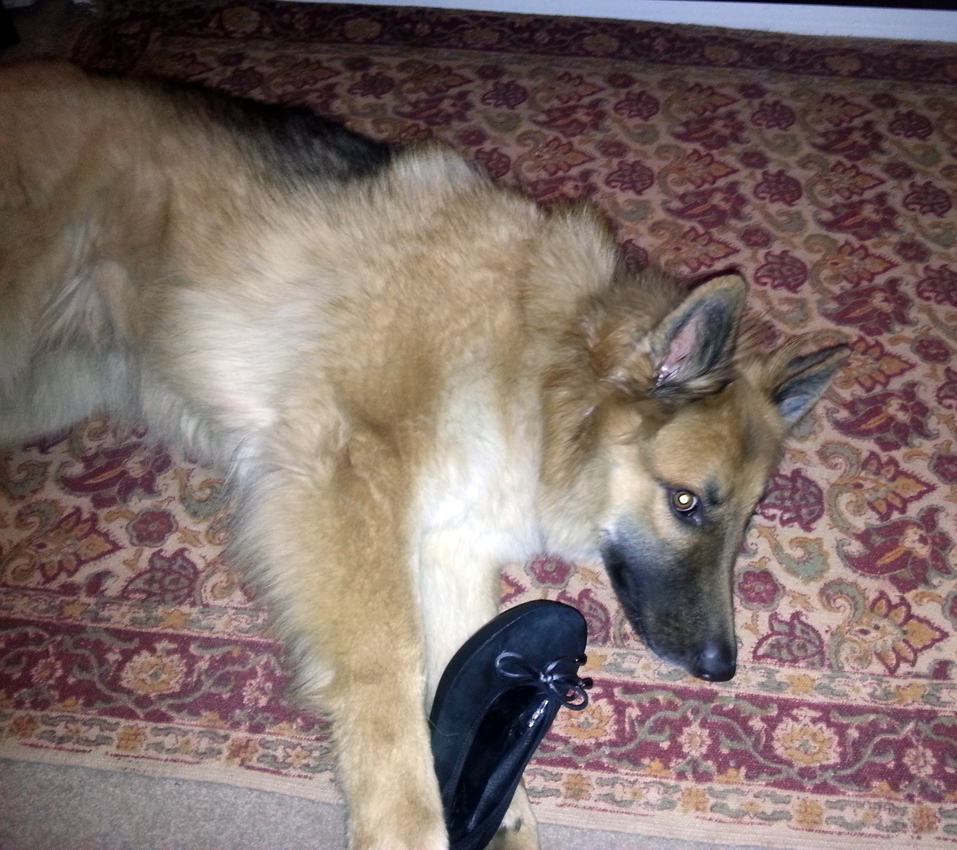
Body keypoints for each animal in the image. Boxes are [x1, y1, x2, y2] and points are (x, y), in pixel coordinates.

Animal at [0, 61, 847, 850]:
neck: (535, 365)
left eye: (743, 524)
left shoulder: (450, 546)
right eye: (685, 502)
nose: (720, 666)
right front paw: (404, 820)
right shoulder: (348, 470)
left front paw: (502, 804)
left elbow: (457, 656)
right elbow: (387, 664)